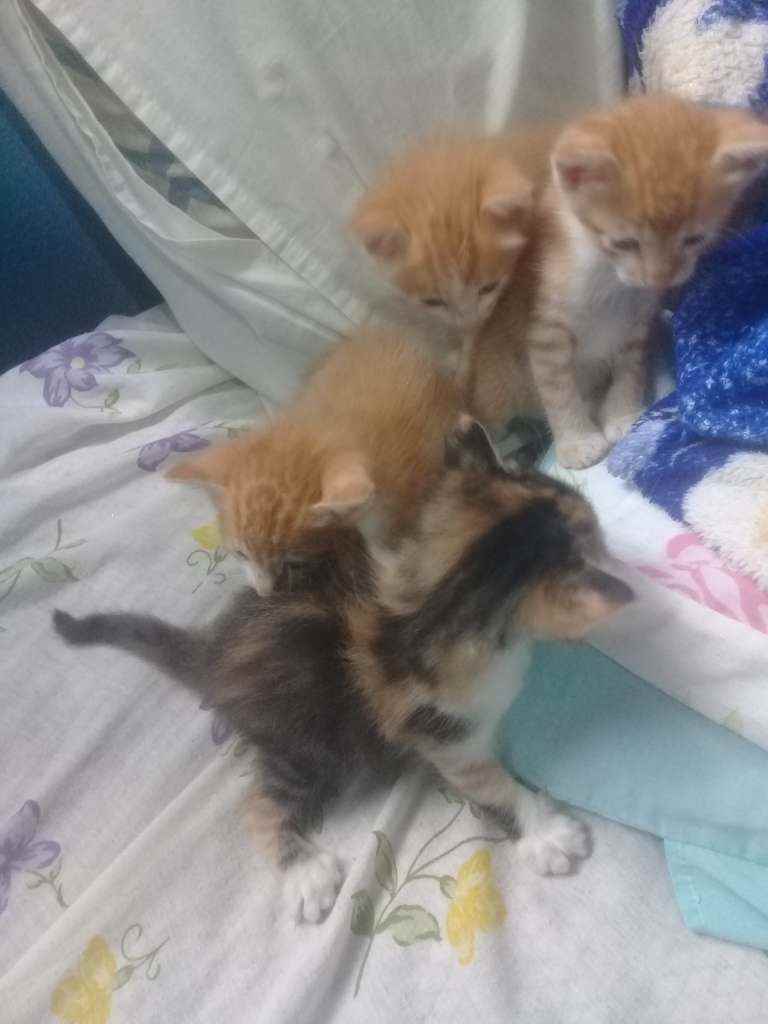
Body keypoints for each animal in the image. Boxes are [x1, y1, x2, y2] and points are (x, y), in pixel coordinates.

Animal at [54, 419, 633, 924]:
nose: (608, 538)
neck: (438, 604)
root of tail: (214, 652)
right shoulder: (445, 736)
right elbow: (490, 783)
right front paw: (546, 832)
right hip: (311, 746)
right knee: (259, 805)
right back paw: (305, 874)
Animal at [529, 93, 768, 470]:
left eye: (694, 239)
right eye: (625, 243)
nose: (660, 278)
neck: (608, 278)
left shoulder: (638, 322)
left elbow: (630, 369)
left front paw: (622, 415)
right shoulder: (545, 326)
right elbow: (557, 387)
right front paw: (577, 440)